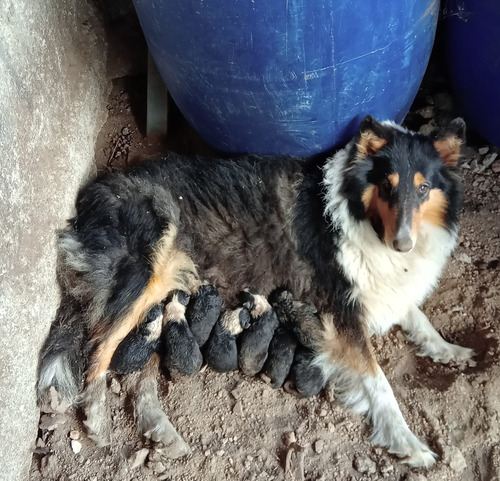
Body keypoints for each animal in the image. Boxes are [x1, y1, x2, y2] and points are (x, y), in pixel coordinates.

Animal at [38, 115, 472, 464]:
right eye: (386, 185)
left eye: (423, 188)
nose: (403, 245)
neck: (358, 216)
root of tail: (83, 209)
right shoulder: (341, 314)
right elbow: (379, 382)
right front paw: (410, 444)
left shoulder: (382, 290)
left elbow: (418, 317)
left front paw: (452, 350)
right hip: (143, 274)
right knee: (98, 350)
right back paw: (97, 418)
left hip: (161, 296)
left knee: (135, 372)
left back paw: (163, 432)